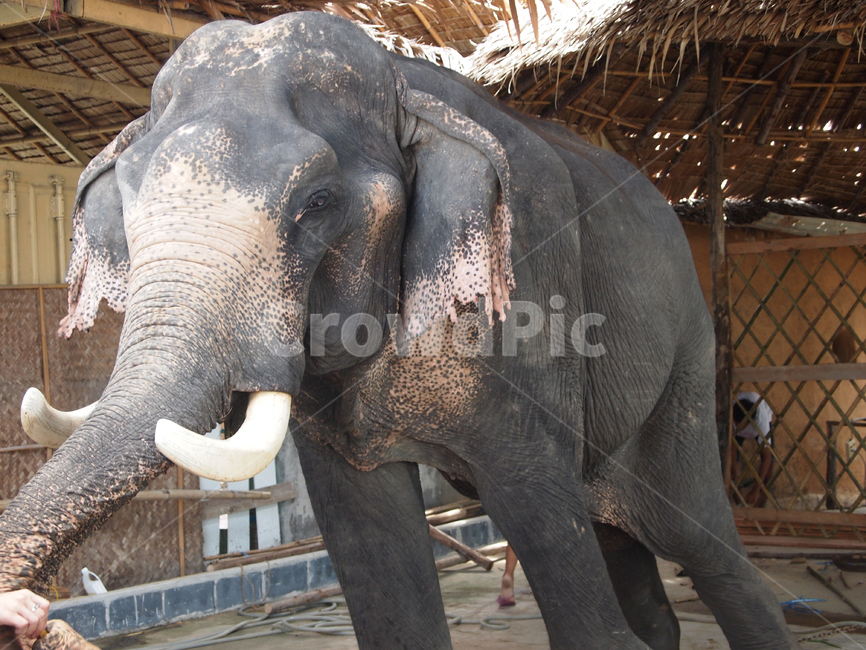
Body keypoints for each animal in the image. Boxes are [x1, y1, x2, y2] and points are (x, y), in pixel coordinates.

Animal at [0, 12, 796, 650]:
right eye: (124, 208)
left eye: (317, 202)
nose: (30, 617)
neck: (400, 85)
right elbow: (376, 557)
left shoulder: (527, 300)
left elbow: (549, 537)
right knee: (627, 550)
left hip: (685, 360)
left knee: (700, 542)